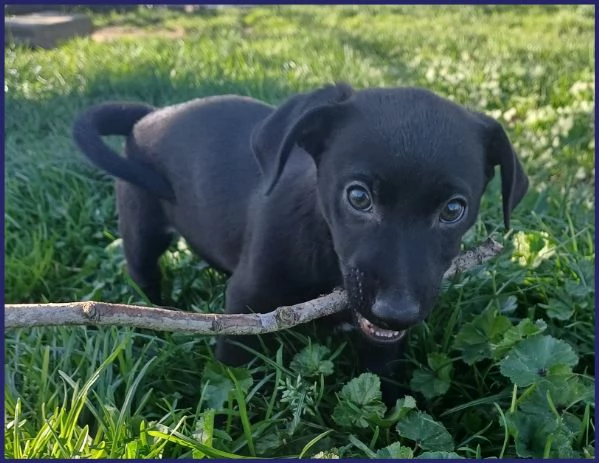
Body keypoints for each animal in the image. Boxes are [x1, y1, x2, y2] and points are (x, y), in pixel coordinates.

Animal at [75, 82, 528, 398]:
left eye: (453, 210)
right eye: (358, 197)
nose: (395, 314)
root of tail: (151, 116)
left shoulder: (382, 345)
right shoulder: (245, 303)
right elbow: (231, 374)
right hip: (141, 225)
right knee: (144, 274)